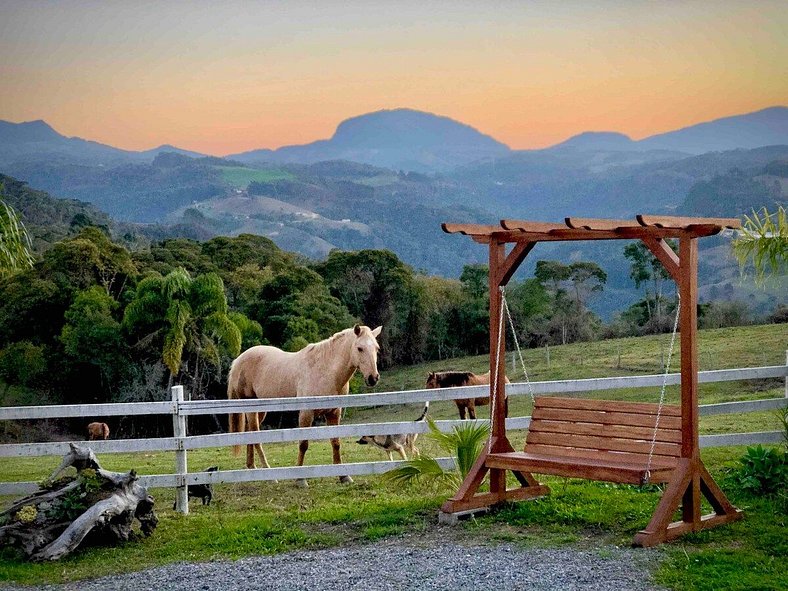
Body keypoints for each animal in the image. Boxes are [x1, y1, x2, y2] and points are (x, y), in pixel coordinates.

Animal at [228, 326, 382, 488]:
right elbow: (303, 444)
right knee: (256, 437)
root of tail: (238, 361)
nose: (373, 378)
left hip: (260, 410)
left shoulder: (334, 413)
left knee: (250, 434)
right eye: (360, 348)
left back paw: (252, 467)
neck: (326, 370)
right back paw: (269, 475)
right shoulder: (306, 414)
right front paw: (300, 479)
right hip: (251, 408)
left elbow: (336, 443)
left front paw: (344, 476)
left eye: (376, 348)